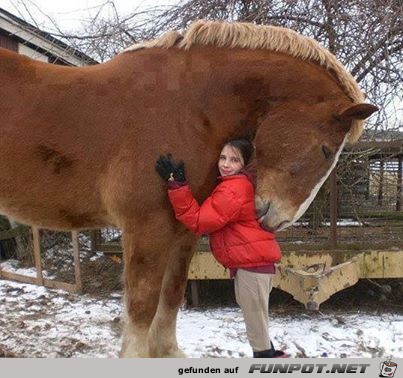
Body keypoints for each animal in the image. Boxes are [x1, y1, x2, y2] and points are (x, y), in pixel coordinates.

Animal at [0, 20, 378, 358]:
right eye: (326, 149)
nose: (277, 220)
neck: (185, 109)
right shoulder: (147, 229)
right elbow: (142, 307)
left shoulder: (183, 231)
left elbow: (171, 297)